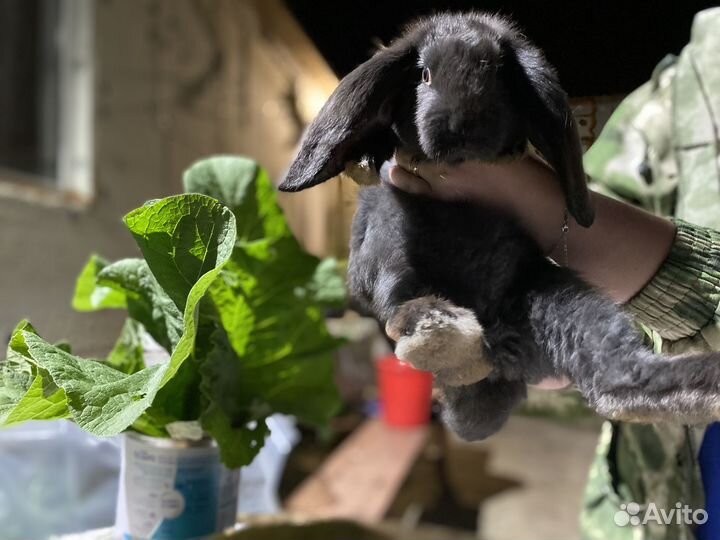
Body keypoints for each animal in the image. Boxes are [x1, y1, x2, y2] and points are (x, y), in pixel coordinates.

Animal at [279, 11, 720, 440]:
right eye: (424, 75)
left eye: (495, 75)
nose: (461, 129)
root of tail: (496, 343)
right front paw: (367, 162)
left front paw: (512, 151)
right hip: (394, 248)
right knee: (405, 304)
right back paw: (436, 331)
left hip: (561, 299)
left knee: (619, 380)